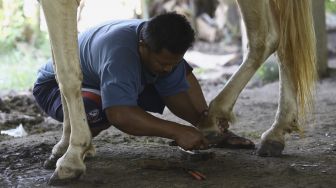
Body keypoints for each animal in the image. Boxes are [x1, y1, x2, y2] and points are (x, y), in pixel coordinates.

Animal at [38, 0, 316, 185]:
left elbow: (68, 74)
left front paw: (73, 156)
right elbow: (59, 67)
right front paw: (64, 145)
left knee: (267, 38)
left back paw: (219, 118)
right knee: (280, 41)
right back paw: (273, 132)